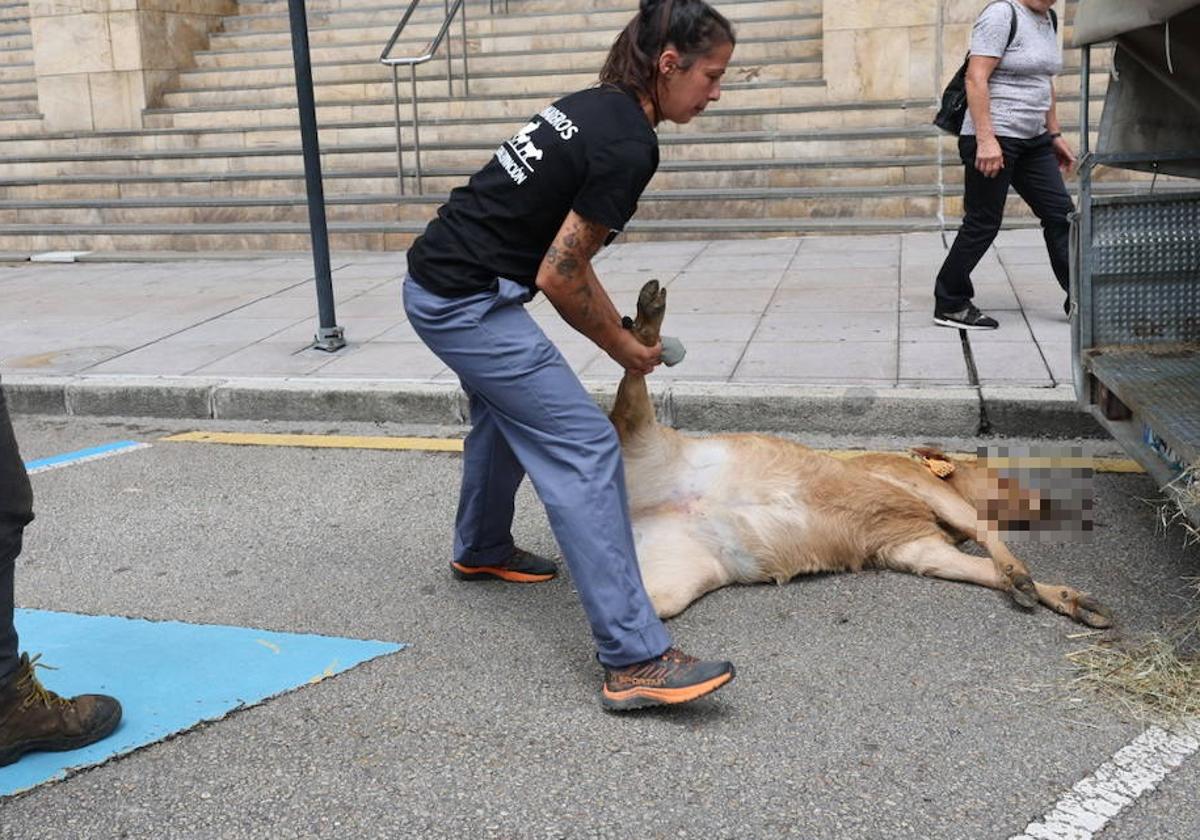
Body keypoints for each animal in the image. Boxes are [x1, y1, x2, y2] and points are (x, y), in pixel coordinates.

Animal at [609, 278, 1113, 628]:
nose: (1042, 500)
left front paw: (1069, 599)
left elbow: (981, 568)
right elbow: (986, 534)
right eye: (994, 471)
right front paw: (1022, 576)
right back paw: (649, 314)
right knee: (631, 381)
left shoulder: (913, 546)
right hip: (643, 436)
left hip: (670, 583)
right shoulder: (918, 485)